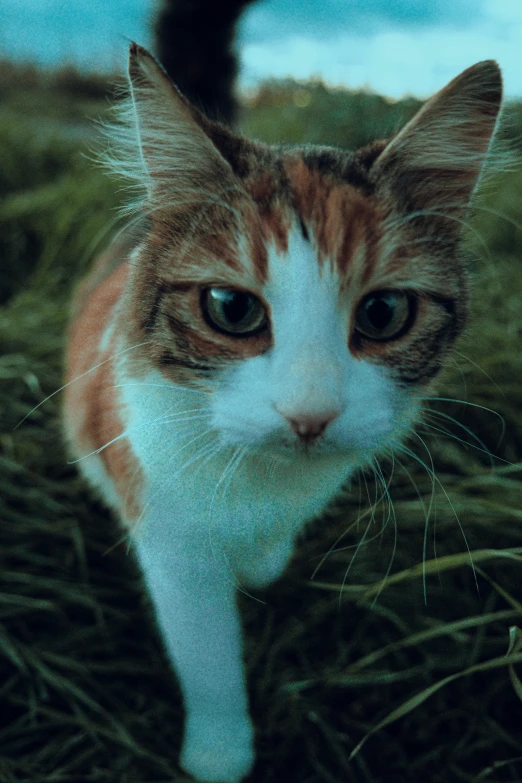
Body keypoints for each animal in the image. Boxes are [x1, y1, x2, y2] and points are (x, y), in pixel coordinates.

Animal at [63, 44, 502, 783]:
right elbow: (205, 647)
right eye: (231, 308)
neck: (260, 479)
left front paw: (265, 560)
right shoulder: (171, 531)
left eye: (384, 313)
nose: (310, 416)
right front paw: (220, 750)